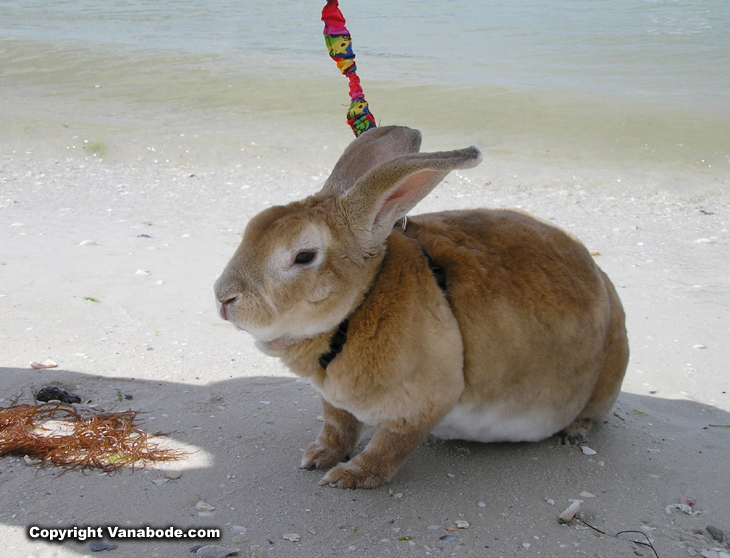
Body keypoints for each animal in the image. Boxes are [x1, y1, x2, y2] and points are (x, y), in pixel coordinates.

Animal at [215, 126, 624, 490]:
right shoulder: (335, 403)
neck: (359, 307)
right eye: (252, 226)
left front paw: (349, 477)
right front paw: (317, 457)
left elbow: (389, 446)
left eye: (304, 256)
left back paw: (573, 433)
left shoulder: (423, 404)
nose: (223, 297)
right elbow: (338, 427)